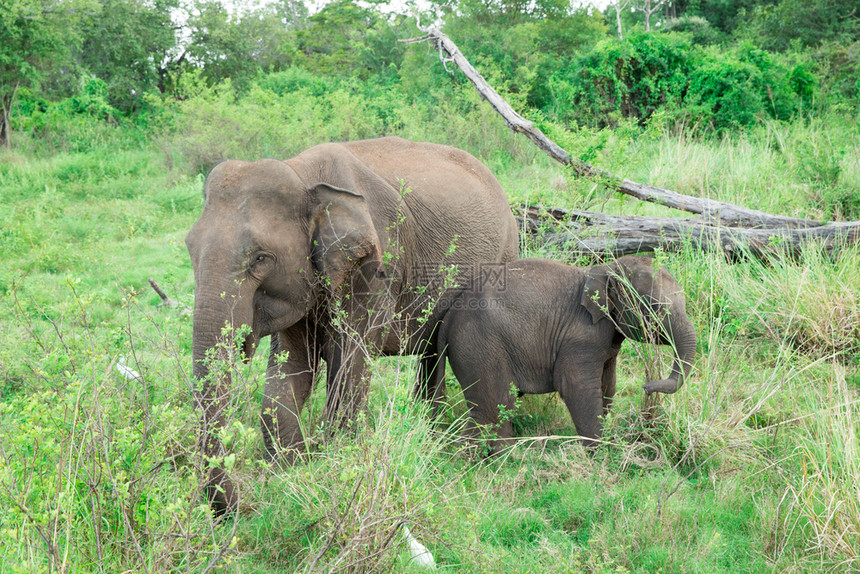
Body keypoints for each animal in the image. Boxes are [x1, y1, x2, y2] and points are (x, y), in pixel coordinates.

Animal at [186, 136, 516, 516]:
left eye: (261, 258)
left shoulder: (376, 264)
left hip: (506, 252)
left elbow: (350, 362)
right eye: (189, 249)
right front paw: (287, 471)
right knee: (431, 351)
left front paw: (331, 463)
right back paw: (429, 425)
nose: (243, 504)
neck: (304, 175)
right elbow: (289, 370)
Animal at [420, 256, 696, 450]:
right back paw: (501, 458)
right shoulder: (581, 336)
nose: (646, 387)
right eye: (654, 307)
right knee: (496, 403)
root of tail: (448, 318)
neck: (606, 268)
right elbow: (576, 386)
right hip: (479, 345)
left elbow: (607, 385)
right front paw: (599, 452)